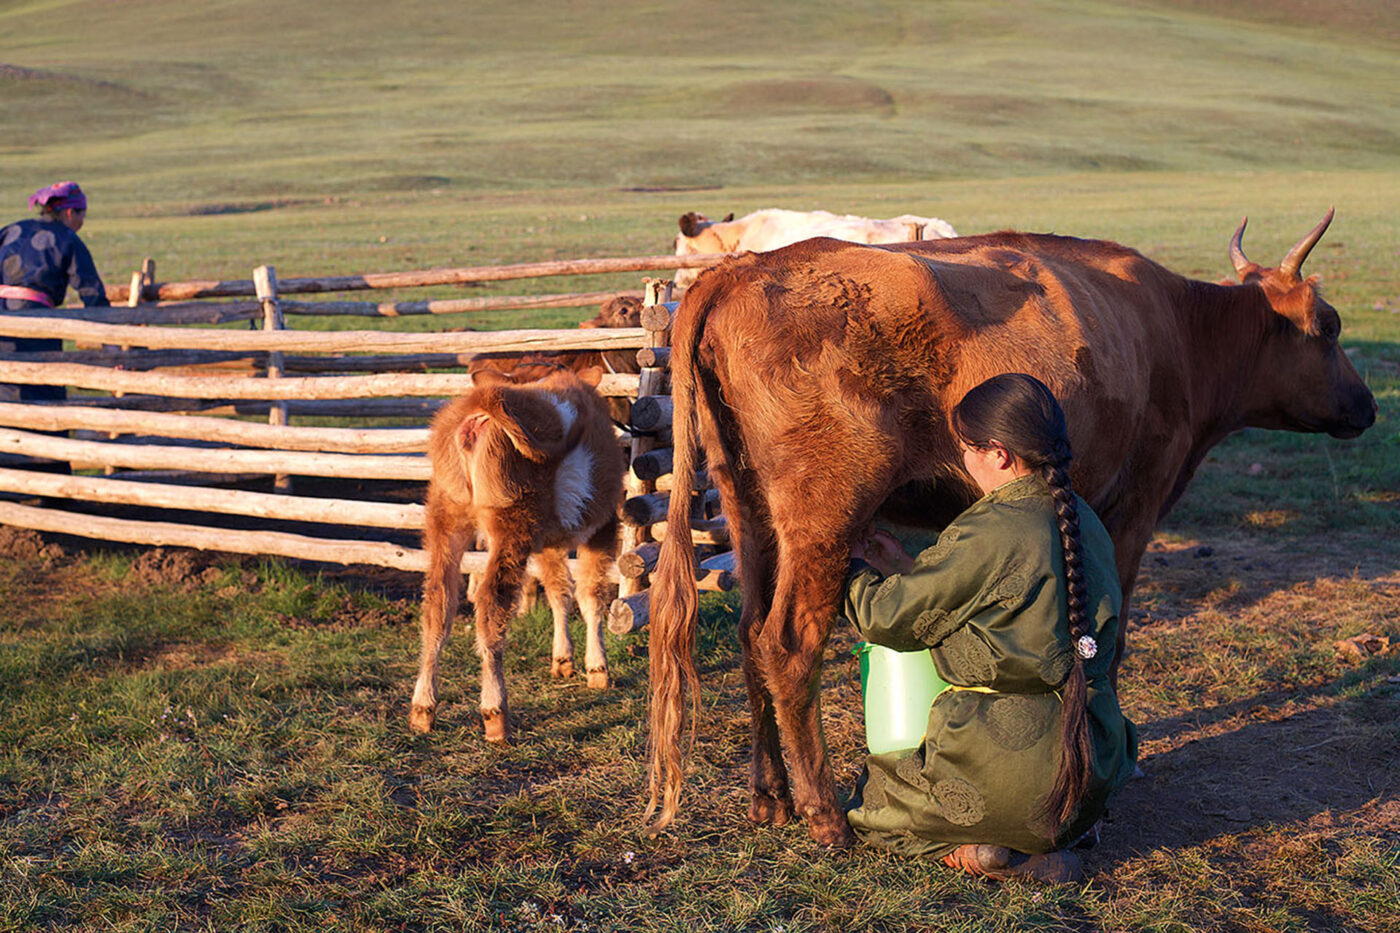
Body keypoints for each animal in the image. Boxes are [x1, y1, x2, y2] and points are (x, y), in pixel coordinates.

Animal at [409, 365, 626, 742]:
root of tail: (487, 401)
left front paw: (563, 660)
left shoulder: (549, 541)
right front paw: (597, 668)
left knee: (438, 603)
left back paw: (423, 709)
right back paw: (495, 714)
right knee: (491, 604)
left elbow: (559, 591)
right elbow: (590, 595)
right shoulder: (602, 527)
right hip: (511, 527)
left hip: (445, 518)